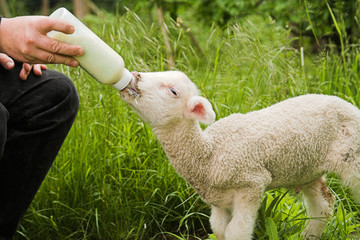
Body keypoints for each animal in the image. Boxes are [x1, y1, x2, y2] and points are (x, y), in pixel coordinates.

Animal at [119, 70, 360, 240]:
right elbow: (219, 229)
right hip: (307, 169)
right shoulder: (218, 200)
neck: (210, 154)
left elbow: (236, 232)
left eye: (173, 91)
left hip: (354, 156)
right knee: (324, 206)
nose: (134, 76)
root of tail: (346, 104)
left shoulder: (251, 184)